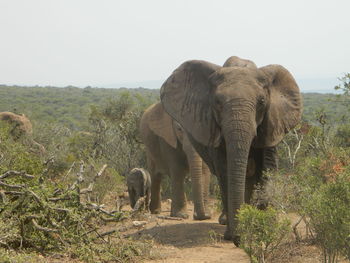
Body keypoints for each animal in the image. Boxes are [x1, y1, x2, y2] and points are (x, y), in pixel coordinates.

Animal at [160, 57, 302, 245]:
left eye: (262, 102)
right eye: (217, 102)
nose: (238, 240)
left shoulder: (271, 122)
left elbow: (266, 169)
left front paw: (263, 226)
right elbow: (225, 170)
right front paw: (234, 232)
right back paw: (227, 220)